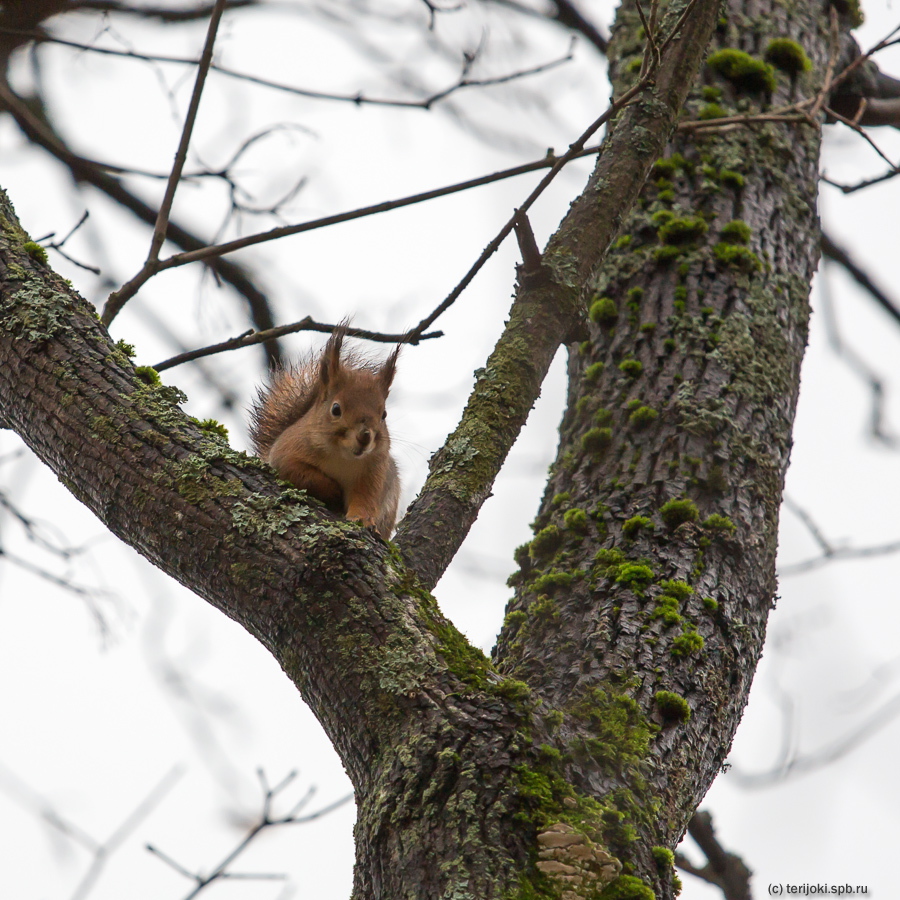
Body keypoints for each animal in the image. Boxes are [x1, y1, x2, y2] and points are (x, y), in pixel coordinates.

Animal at [248, 324, 400, 536]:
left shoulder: (375, 470)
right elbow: (304, 475)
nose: (365, 436)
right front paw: (333, 490)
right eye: (336, 409)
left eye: (384, 415)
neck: (342, 456)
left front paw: (363, 519)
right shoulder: (287, 454)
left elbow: (366, 497)